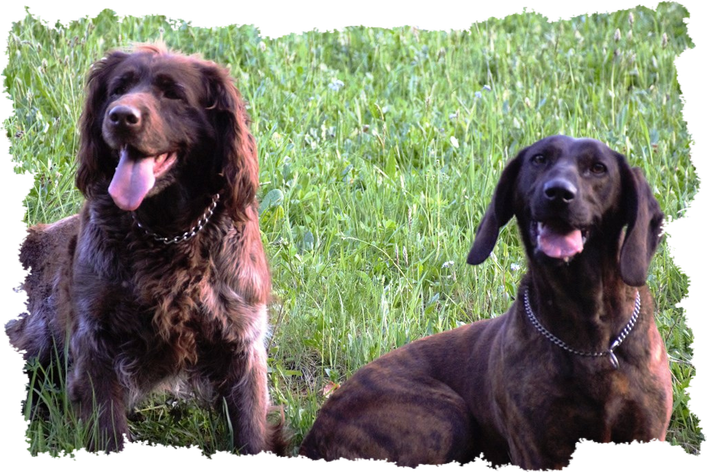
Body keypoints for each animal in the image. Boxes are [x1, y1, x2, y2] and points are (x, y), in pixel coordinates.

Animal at [3, 44, 285, 456]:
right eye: (119, 88)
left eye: (173, 93)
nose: (121, 116)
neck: (167, 233)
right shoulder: (95, 341)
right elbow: (107, 426)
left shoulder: (241, 337)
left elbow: (251, 428)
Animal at [298, 135, 672, 470]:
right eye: (539, 160)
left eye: (598, 168)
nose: (558, 193)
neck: (588, 332)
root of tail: (314, 436)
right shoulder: (539, 450)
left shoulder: (645, 431)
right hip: (447, 415)